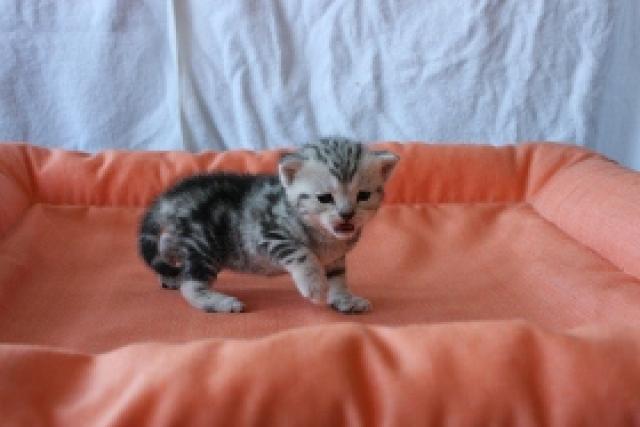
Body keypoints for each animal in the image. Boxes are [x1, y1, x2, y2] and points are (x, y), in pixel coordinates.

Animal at [138, 138, 399, 313]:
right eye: (325, 198)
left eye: (363, 196)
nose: (347, 215)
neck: (325, 237)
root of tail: (172, 196)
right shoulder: (267, 233)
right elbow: (302, 253)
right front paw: (315, 285)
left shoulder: (335, 258)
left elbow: (338, 277)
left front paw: (345, 298)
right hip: (204, 244)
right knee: (191, 285)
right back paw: (218, 301)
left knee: (167, 243)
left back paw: (171, 273)